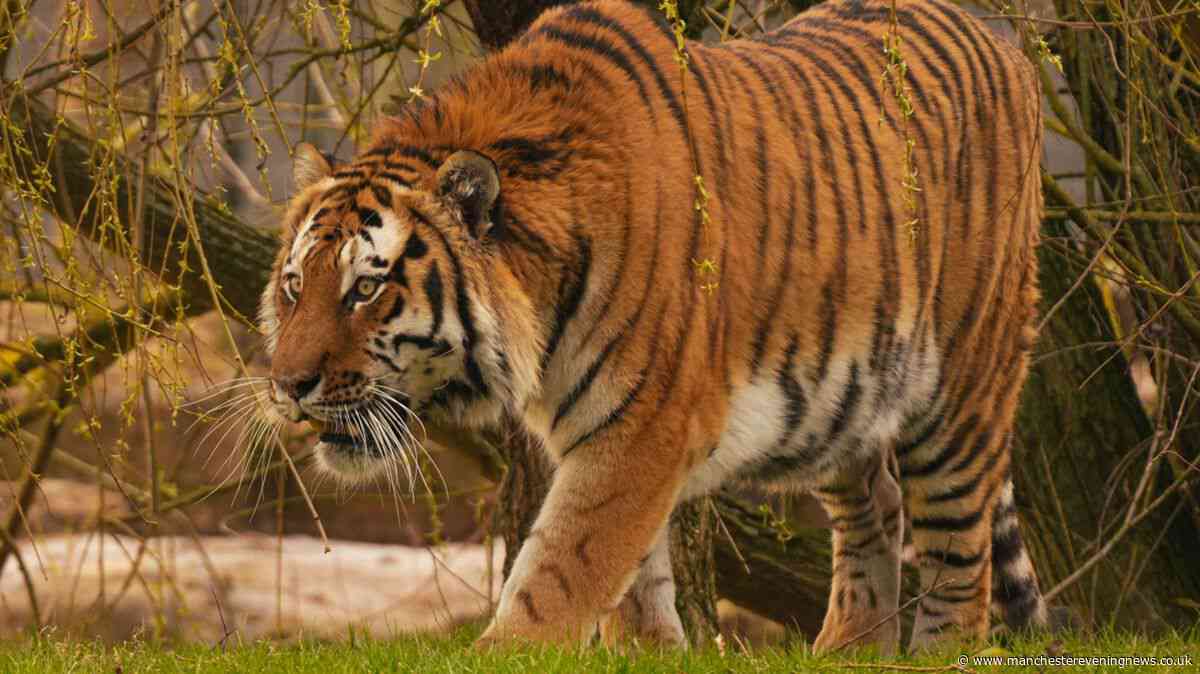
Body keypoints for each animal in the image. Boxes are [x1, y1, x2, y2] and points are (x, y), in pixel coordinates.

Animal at [260, 0, 1052, 654]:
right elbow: (632, 578)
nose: (288, 386)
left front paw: (510, 650)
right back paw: (848, 650)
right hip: (842, 399)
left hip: (962, 383)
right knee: (877, 503)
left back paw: (938, 649)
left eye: (366, 289)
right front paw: (653, 653)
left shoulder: (645, 424)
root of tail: (1003, 41)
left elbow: (564, 565)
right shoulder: (606, 428)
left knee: (960, 547)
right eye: (296, 287)